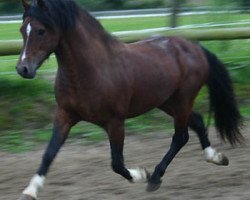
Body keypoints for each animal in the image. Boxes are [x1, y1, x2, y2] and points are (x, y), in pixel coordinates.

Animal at [16, 0, 242, 199]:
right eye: (22, 30)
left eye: (41, 30)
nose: (23, 69)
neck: (92, 69)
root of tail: (195, 47)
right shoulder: (65, 115)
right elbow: (49, 153)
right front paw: (30, 192)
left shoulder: (115, 121)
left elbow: (116, 162)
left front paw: (141, 174)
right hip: (168, 102)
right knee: (197, 122)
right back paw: (216, 158)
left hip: (183, 100)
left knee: (181, 136)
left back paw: (155, 177)